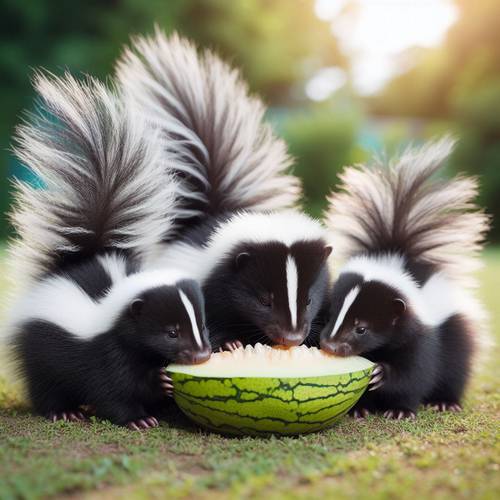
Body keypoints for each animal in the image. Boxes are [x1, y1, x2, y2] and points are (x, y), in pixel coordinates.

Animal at [5, 73, 211, 430]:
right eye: (171, 333)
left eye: (202, 325)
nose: (201, 355)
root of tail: (78, 260)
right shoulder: (103, 354)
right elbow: (112, 391)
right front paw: (139, 418)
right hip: (39, 347)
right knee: (43, 383)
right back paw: (63, 411)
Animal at [117, 30, 334, 348]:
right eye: (264, 300)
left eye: (308, 300)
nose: (292, 337)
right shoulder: (209, 289)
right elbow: (211, 320)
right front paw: (231, 342)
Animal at [320, 139, 488, 420]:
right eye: (331, 316)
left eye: (361, 328)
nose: (330, 346)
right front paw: (360, 408)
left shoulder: (422, 337)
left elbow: (414, 375)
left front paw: (398, 405)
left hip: (455, 332)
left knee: (456, 368)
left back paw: (445, 401)